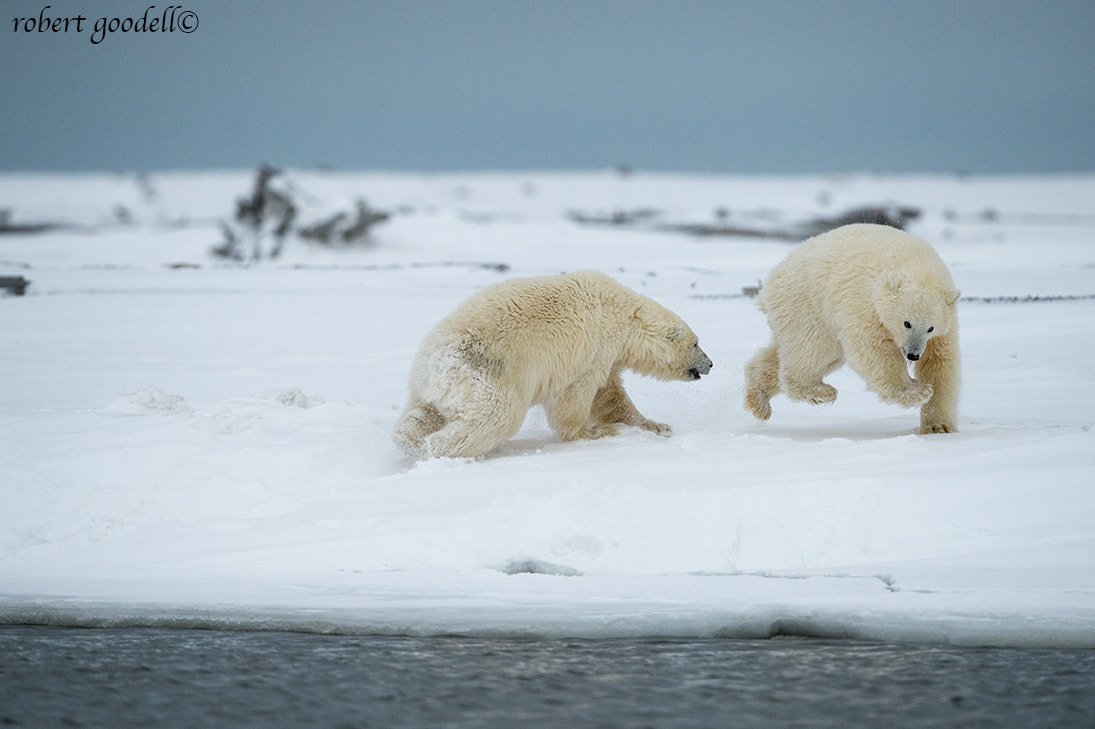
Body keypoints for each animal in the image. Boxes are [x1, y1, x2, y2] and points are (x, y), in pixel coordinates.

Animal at [398, 269, 713, 457]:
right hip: (488, 374)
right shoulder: (594, 347)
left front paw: (656, 426)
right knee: (496, 418)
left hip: (427, 385)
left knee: (419, 416)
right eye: (696, 343)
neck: (625, 314)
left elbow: (610, 397)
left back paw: (409, 442)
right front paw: (594, 432)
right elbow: (576, 397)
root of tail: (437, 367)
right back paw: (435, 449)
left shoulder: (607, 355)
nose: (710, 363)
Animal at [744, 223, 959, 431]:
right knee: (814, 348)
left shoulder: (944, 328)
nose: (913, 354)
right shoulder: (865, 300)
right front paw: (917, 391)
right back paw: (821, 391)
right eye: (907, 323)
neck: (915, 263)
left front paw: (937, 426)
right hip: (808, 304)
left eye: (930, 328)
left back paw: (758, 400)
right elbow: (872, 347)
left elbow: (939, 361)